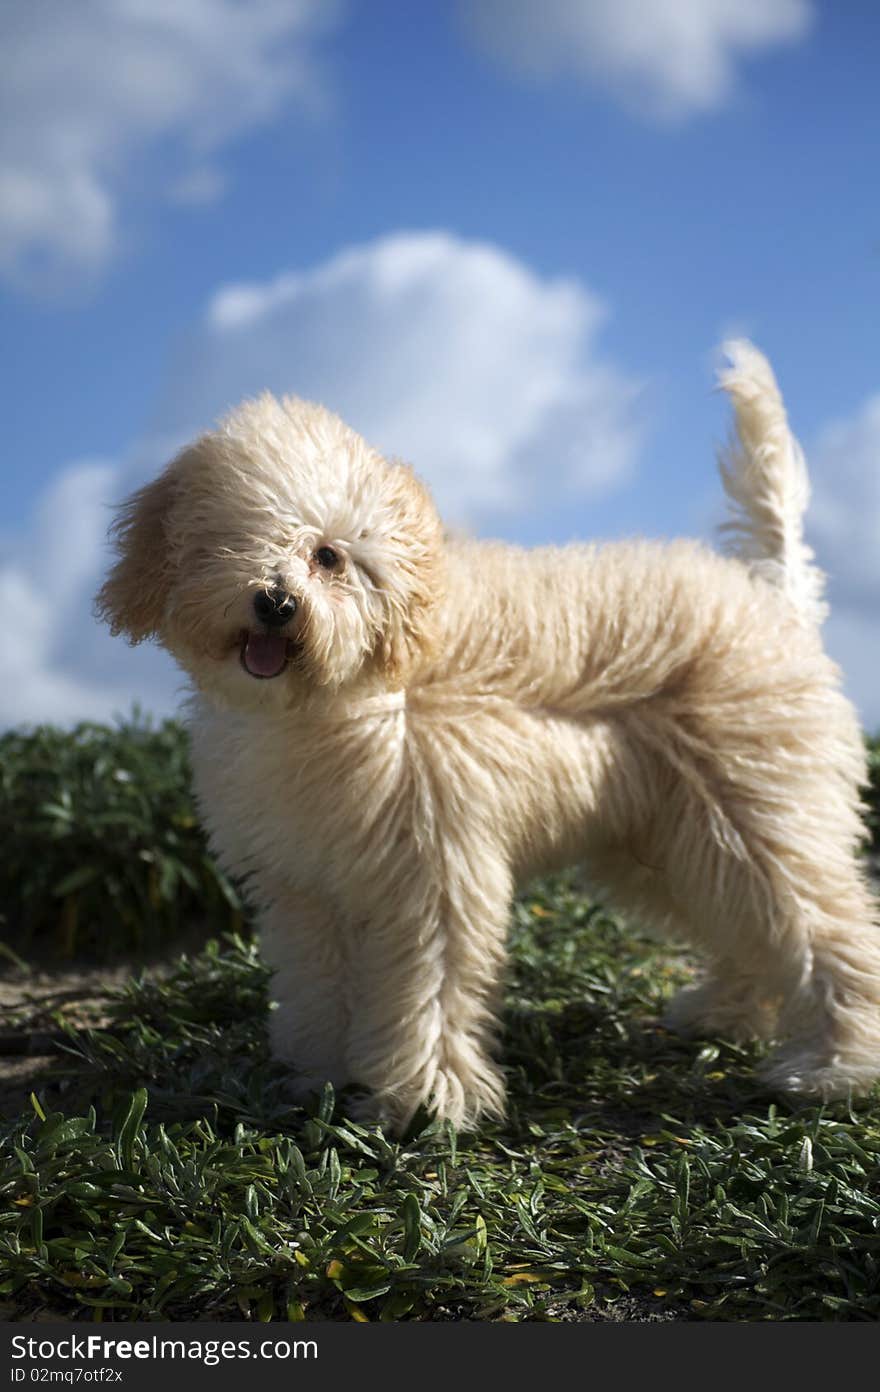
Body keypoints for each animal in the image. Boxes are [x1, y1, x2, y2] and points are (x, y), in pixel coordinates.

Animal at [96, 342, 880, 1135]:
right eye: (230, 543)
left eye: (328, 556)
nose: (277, 603)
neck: (347, 694)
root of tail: (772, 595)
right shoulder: (308, 885)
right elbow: (321, 983)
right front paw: (320, 1074)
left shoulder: (432, 866)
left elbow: (428, 987)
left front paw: (423, 1102)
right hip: (672, 839)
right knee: (754, 931)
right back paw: (725, 1013)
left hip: (753, 811)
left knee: (828, 929)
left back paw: (836, 1067)